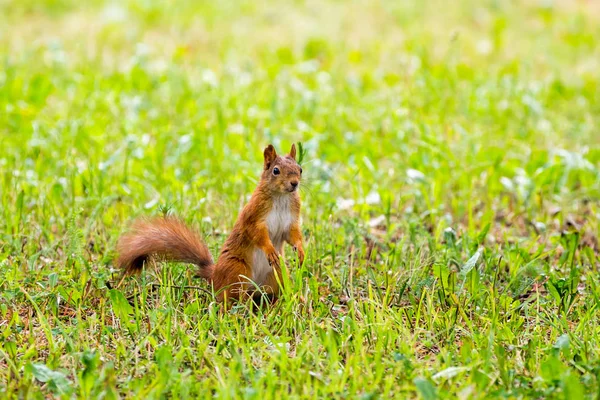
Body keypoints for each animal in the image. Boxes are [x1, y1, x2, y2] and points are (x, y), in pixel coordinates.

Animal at [116, 145, 304, 304]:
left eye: (300, 169)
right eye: (276, 170)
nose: (294, 183)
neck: (280, 197)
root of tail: (215, 276)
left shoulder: (291, 220)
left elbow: (293, 235)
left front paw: (301, 251)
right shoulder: (252, 217)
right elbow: (257, 234)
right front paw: (269, 250)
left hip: (277, 273)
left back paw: (292, 299)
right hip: (237, 271)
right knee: (232, 299)